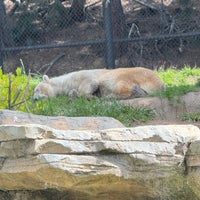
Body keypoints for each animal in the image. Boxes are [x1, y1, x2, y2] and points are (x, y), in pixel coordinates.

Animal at [32, 67, 164, 101]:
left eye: (36, 89)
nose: (34, 99)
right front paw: (73, 95)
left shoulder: (84, 76)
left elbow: (92, 82)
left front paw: (90, 96)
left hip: (131, 75)